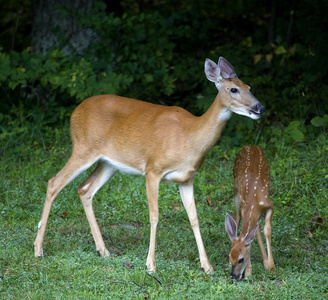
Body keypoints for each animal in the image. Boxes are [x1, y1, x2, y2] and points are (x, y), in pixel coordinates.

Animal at [34, 56, 264, 274]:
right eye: (233, 89)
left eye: (249, 87)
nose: (259, 107)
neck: (189, 136)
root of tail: (74, 113)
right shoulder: (153, 170)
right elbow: (154, 216)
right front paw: (151, 265)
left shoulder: (187, 178)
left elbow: (194, 218)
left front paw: (207, 267)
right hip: (83, 148)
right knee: (54, 182)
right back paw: (38, 249)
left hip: (108, 163)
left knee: (84, 189)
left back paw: (104, 251)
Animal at [224, 145, 276, 278]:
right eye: (229, 257)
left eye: (241, 259)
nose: (233, 276)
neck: (255, 200)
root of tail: (250, 146)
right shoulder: (244, 206)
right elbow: (252, 233)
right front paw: (248, 272)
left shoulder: (270, 204)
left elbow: (266, 230)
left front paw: (271, 266)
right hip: (236, 190)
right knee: (236, 218)